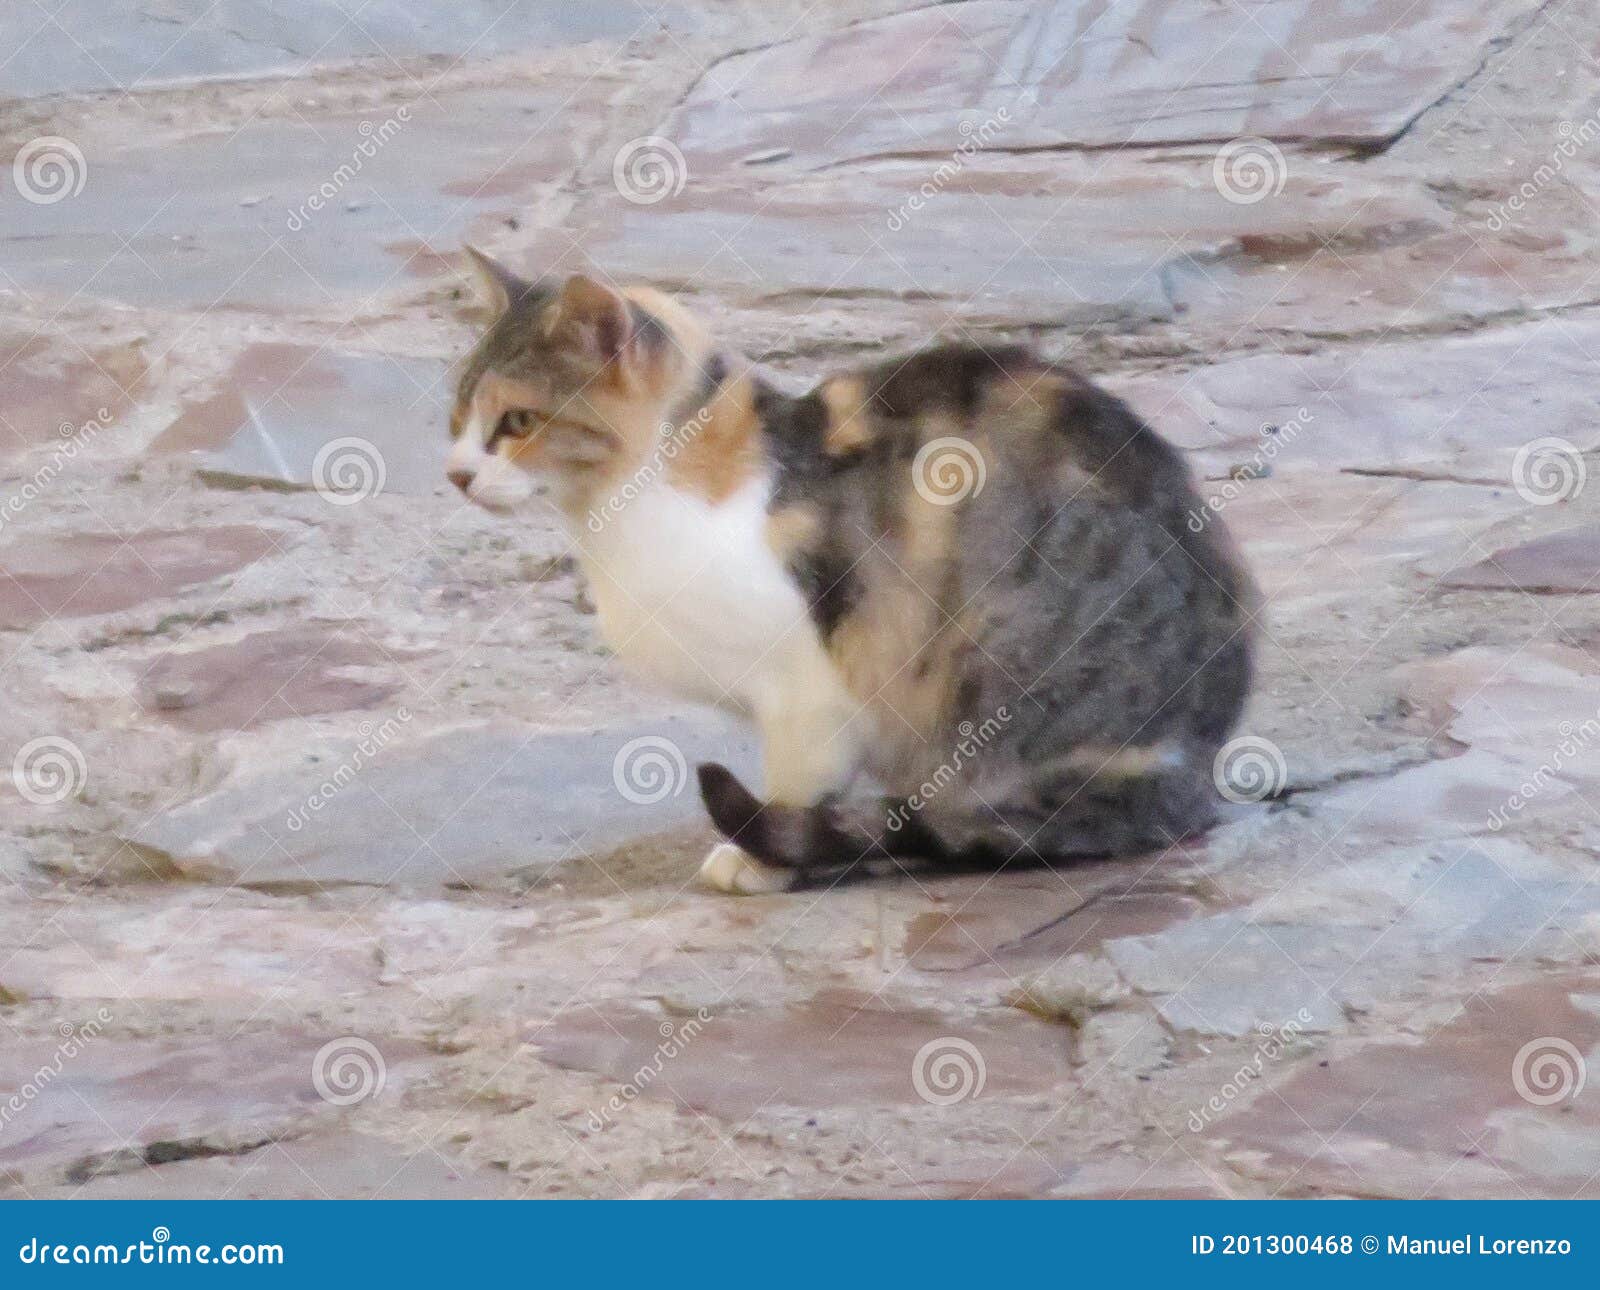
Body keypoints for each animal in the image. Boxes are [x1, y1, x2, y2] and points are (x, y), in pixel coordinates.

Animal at [448, 252, 1248, 896]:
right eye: (456, 414)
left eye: (518, 422)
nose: (456, 474)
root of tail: (1191, 768)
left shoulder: (807, 687)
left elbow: (797, 784)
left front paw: (763, 862)